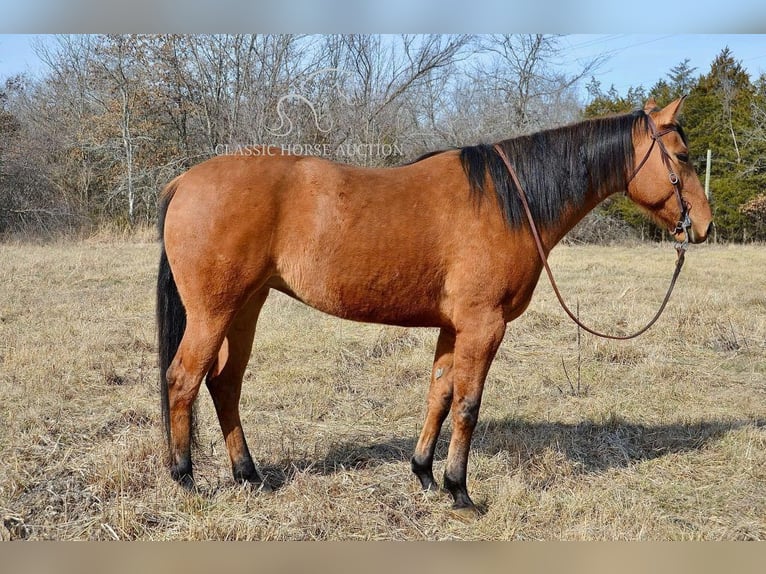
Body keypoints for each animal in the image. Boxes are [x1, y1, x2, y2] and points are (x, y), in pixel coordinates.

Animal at [159, 97, 716, 516]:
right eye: (683, 155)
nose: (705, 226)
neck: (508, 202)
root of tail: (185, 181)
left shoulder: (454, 329)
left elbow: (439, 395)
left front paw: (424, 475)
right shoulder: (483, 327)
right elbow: (468, 406)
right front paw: (459, 491)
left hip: (245, 309)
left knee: (224, 384)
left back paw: (248, 475)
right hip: (214, 313)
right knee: (183, 380)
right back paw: (185, 480)